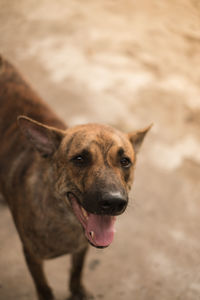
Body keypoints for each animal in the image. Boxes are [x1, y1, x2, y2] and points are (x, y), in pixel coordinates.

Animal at [0, 56, 151, 300]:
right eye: (79, 159)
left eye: (125, 161)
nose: (114, 202)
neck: (66, 219)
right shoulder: (32, 256)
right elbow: (44, 287)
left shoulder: (82, 247)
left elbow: (76, 271)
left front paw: (78, 291)